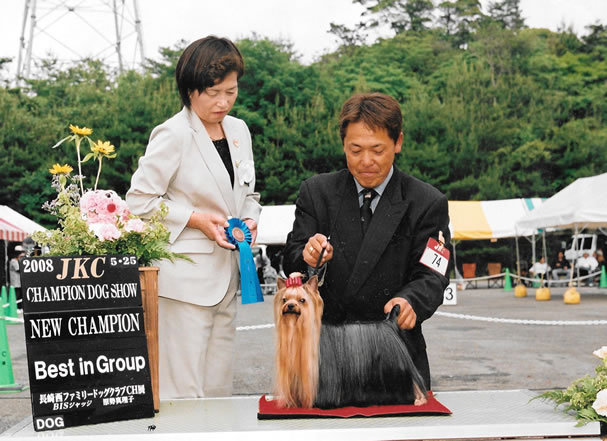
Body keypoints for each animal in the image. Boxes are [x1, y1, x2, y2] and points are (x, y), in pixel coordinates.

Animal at [273, 273, 428, 409]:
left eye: (302, 300)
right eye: (284, 300)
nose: (290, 305)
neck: (297, 330)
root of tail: (390, 323)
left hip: (396, 365)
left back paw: (419, 399)